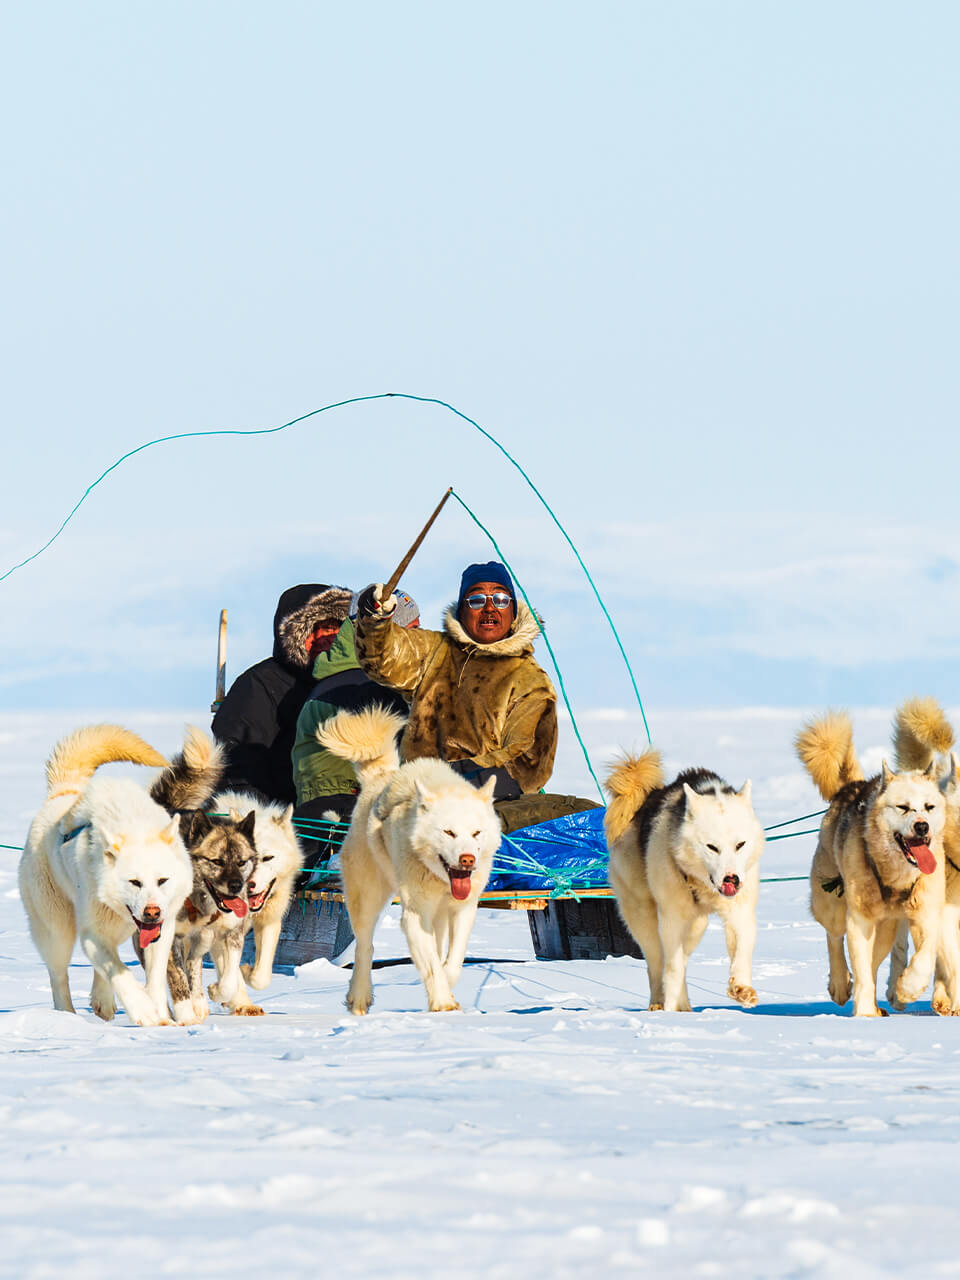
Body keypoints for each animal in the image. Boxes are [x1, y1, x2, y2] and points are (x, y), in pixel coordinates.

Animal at [19, 727, 192, 1024]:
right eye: (134, 882)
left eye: (163, 881)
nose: (152, 912)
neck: (133, 825)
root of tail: (62, 793)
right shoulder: (92, 934)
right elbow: (119, 972)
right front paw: (143, 1010)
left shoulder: (162, 931)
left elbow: (154, 978)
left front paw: (161, 1016)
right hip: (58, 930)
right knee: (59, 975)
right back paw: (67, 1016)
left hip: (116, 929)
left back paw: (102, 1002)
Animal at [317, 706, 499, 1013]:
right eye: (449, 832)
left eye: (476, 833)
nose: (467, 860)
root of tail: (378, 778)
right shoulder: (415, 915)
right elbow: (433, 965)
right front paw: (443, 1002)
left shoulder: (463, 910)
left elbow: (453, 962)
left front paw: (446, 990)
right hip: (368, 898)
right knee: (364, 947)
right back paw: (359, 997)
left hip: (436, 915)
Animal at [609, 747, 768, 1008]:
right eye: (712, 847)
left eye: (740, 845)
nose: (732, 879)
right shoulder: (672, 917)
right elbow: (672, 967)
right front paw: (670, 1007)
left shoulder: (740, 908)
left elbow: (743, 946)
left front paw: (742, 987)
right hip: (643, 915)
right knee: (658, 963)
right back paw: (661, 1002)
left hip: (697, 925)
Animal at [798, 711, 947, 1018]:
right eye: (903, 807)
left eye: (929, 807)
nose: (922, 826)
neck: (897, 876)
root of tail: (852, 787)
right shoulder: (860, 919)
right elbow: (860, 967)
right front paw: (864, 1012)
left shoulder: (926, 911)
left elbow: (925, 956)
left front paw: (908, 988)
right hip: (832, 903)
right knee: (835, 938)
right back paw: (841, 984)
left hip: (887, 928)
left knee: (875, 960)